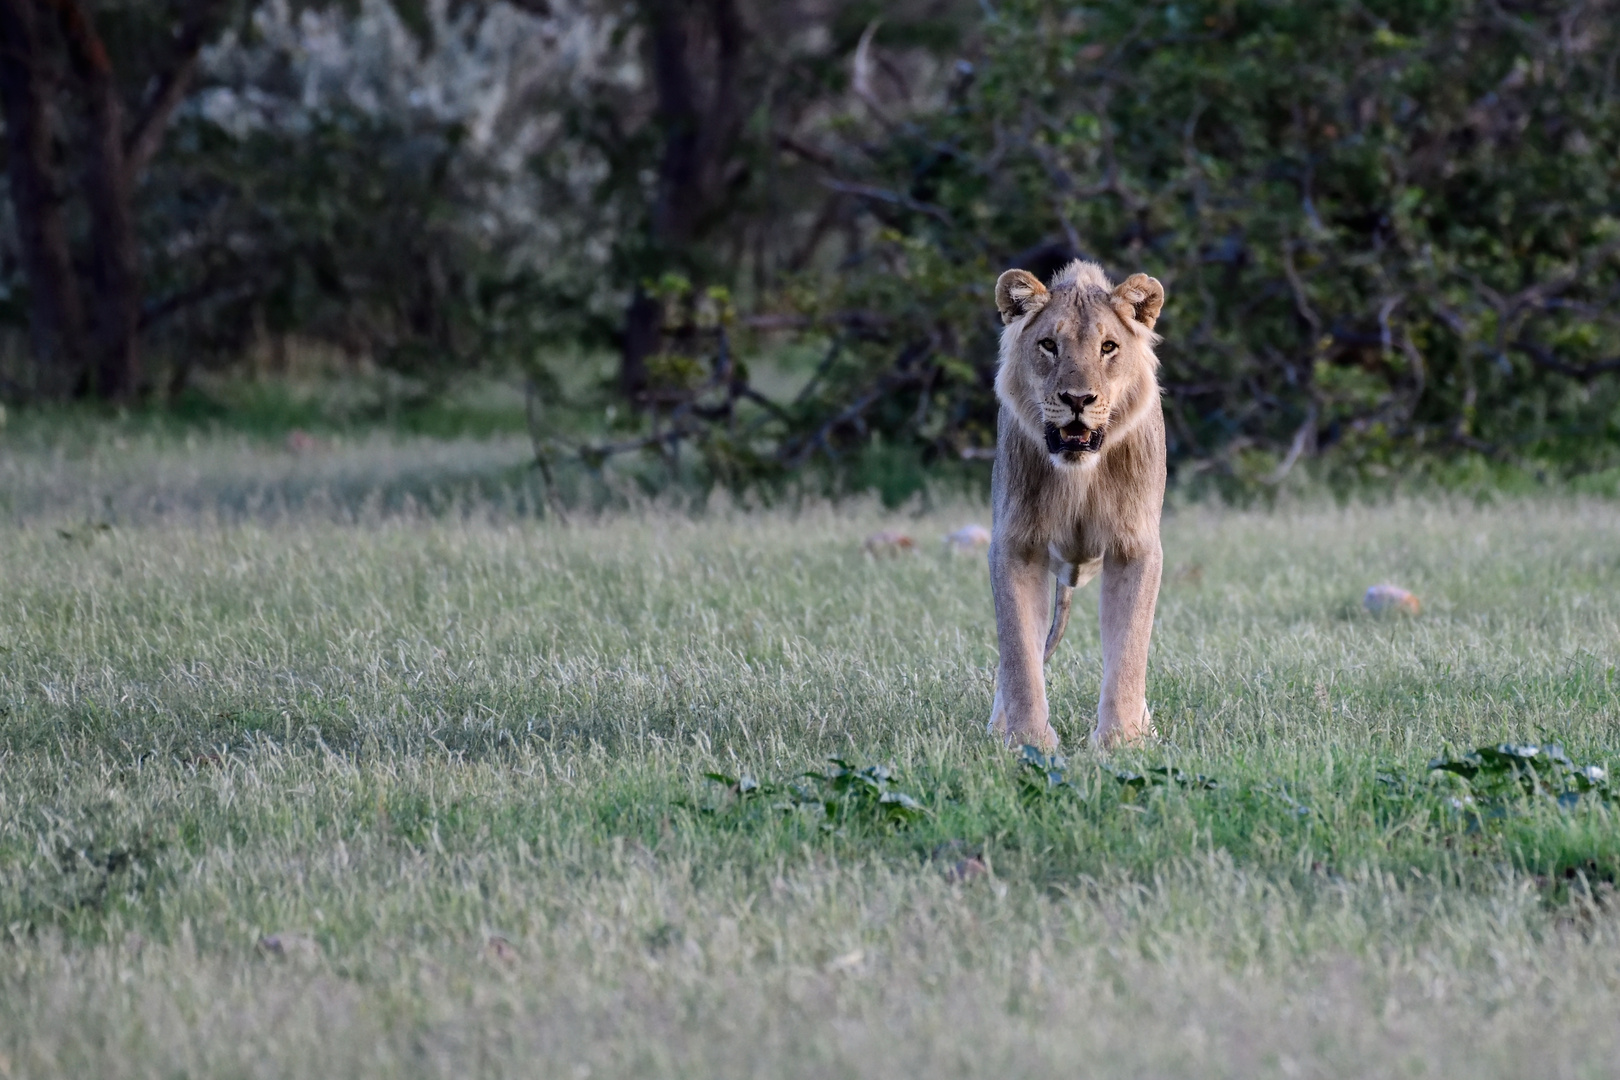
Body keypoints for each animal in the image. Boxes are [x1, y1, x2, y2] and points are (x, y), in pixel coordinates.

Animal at [984, 262, 1166, 751]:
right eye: (1049, 344)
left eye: (1108, 347)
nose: (1078, 400)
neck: (1079, 475)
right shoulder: (1015, 546)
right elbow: (1019, 654)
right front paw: (1028, 742)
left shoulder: (1136, 547)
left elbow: (1129, 650)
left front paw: (1121, 741)